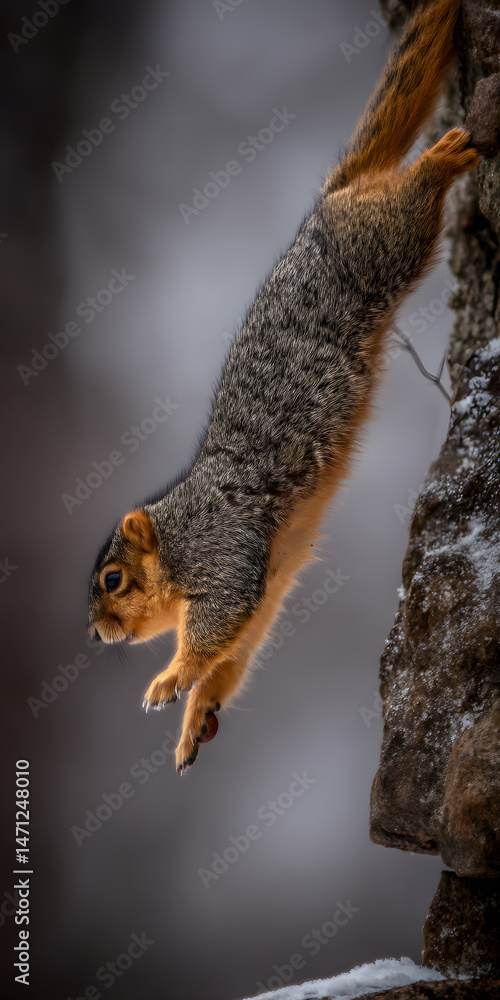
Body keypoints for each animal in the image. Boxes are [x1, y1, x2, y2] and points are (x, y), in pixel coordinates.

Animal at [88, 0, 479, 775]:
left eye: (113, 581)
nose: (95, 634)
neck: (176, 534)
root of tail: (333, 199)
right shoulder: (266, 575)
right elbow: (240, 646)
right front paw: (196, 714)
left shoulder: (225, 551)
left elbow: (216, 627)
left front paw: (167, 681)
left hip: (380, 244)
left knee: (412, 198)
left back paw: (443, 158)